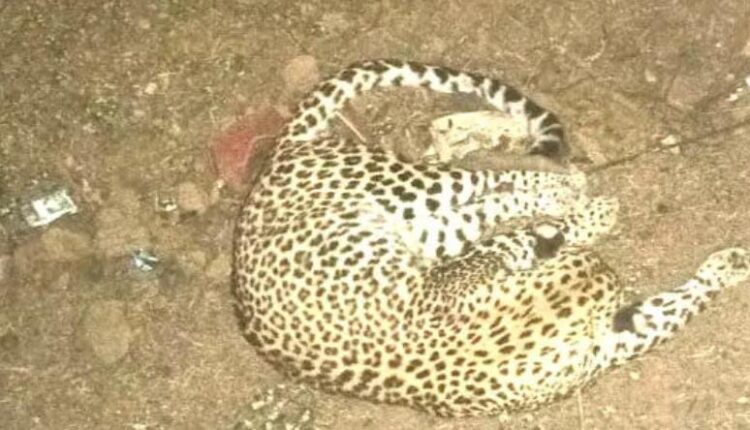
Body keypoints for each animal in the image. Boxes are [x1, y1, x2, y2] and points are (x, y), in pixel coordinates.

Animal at [231, 59, 750, 417]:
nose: (610, 274)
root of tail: (279, 154)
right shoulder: (450, 280)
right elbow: (519, 241)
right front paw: (583, 221)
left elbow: (674, 305)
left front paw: (727, 267)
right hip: (411, 192)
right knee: (489, 180)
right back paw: (567, 188)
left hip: (429, 228)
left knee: (489, 196)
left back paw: (564, 191)